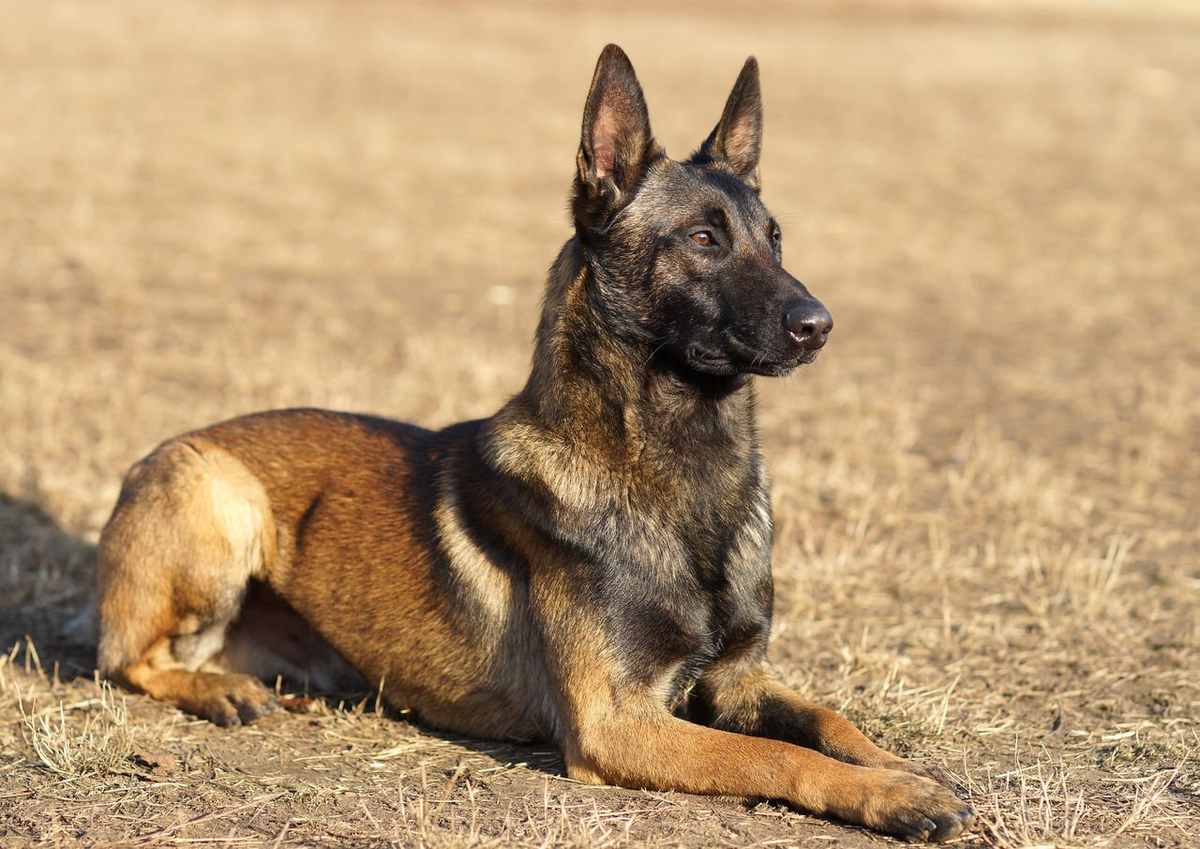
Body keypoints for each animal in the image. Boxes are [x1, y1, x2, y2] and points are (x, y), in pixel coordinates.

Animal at [96, 46, 974, 844]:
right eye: (702, 238)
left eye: (776, 238)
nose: (819, 325)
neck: (682, 472)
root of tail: (175, 442)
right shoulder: (617, 722)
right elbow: (776, 757)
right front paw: (895, 796)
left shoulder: (737, 679)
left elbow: (831, 721)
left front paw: (904, 769)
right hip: (220, 494)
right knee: (127, 659)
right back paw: (221, 695)